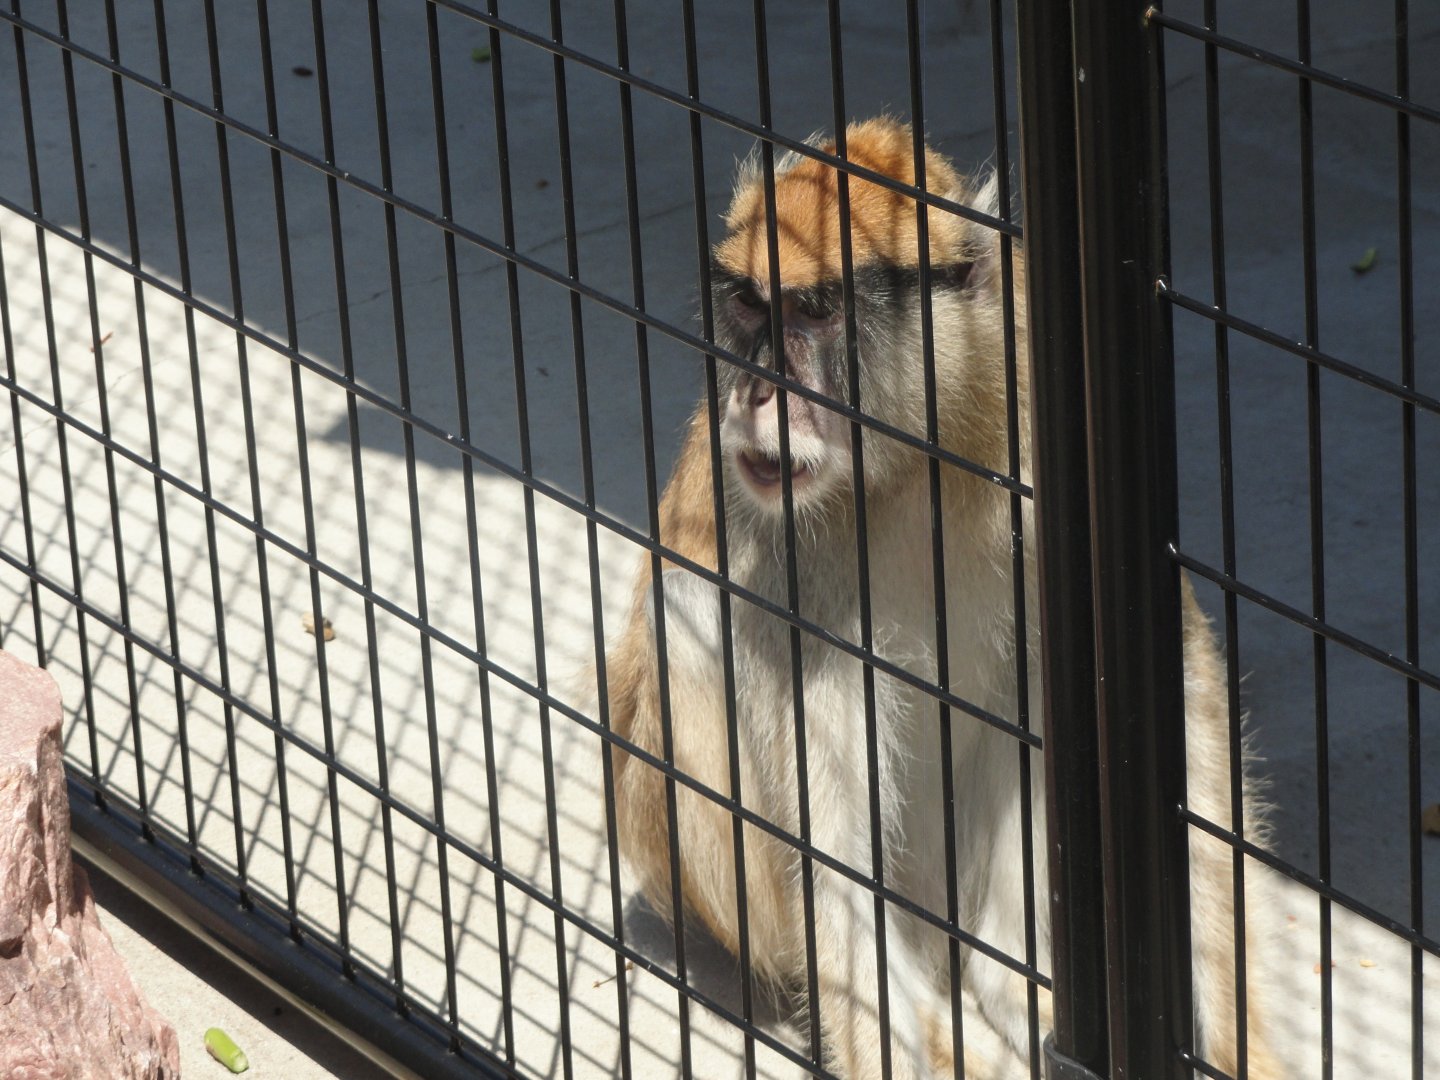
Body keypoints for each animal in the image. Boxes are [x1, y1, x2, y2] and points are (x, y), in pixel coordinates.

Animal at [605, 117, 1285, 1079]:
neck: (915, 457)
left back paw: (1015, 990)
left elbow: (1175, 713)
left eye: (815, 311)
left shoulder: (1042, 432)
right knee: (686, 614)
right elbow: (834, 858)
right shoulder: (793, 558)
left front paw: (1235, 1042)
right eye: (747, 305)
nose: (757, 391)